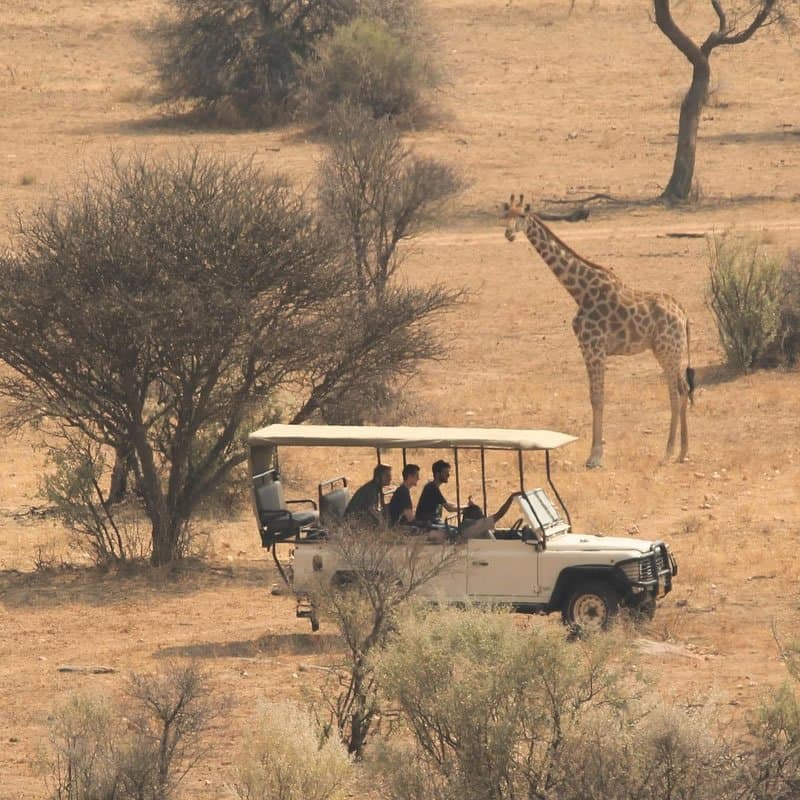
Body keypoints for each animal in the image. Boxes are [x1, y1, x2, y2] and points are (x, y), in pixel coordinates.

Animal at [502, 194, 695, 468]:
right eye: (506, 213)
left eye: (521, 216)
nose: (508, 233)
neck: (579, 291)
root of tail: (684, 315)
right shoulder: (588, 348)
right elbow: (594, 396)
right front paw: (595, 453)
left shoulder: (594, 347)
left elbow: (597, 397)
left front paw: (594, 456)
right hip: (666, 351)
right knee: (682, 389)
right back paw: (682, 452)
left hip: (669, 350)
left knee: (676, 393)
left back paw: (668, 452)